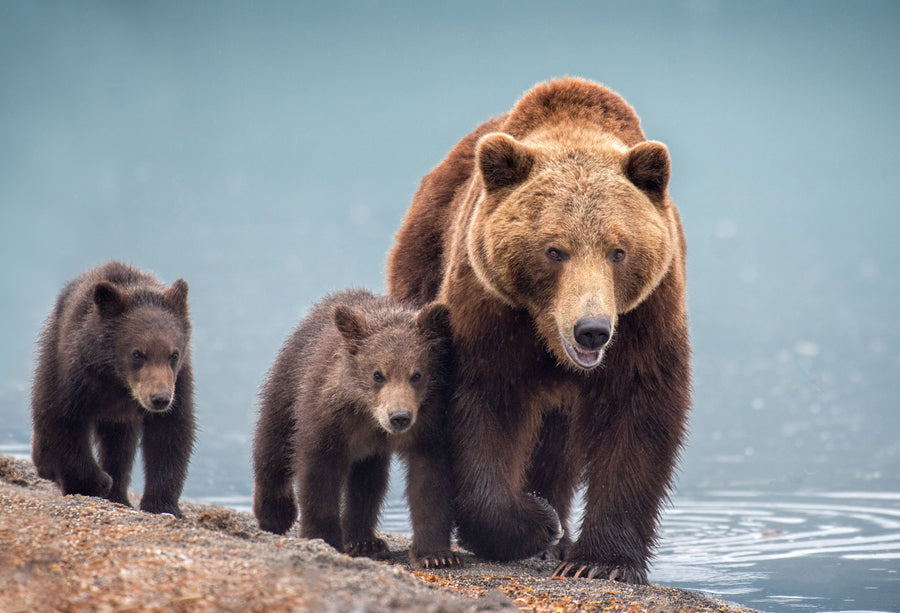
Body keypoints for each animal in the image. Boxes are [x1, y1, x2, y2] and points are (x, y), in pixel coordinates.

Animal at [31, 261, 196, 517]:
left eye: (174, 354)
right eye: (137, 353)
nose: (159, 398)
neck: (117, 381)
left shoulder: (179, 383)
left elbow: (170, 435)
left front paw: (162, 505)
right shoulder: (74, 375)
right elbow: (63, 422)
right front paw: (97, 482)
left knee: (120, 446)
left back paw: (120, 496)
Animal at [252, 288, 460, 570]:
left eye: (416, 374)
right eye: (377, 374)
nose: (399, 417)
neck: (368, 415)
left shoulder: (428, 425)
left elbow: (429, 481)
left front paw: (436, 555)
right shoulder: (328, 419)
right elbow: (318, 475)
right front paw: (323, 538)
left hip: (369, 451)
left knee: (368, 482)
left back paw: (364, 541)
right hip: (290, 378)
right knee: (273, 440)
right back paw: (274, 514)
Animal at [386, 77, 691, 584]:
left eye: (618, 251)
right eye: (554, 250)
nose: (592, 330)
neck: (548, 339)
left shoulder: (646, 318)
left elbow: (639, 416)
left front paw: (599, 562)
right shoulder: (490, 310)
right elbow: (482, 409)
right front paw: (535, 522)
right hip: (421, 264)